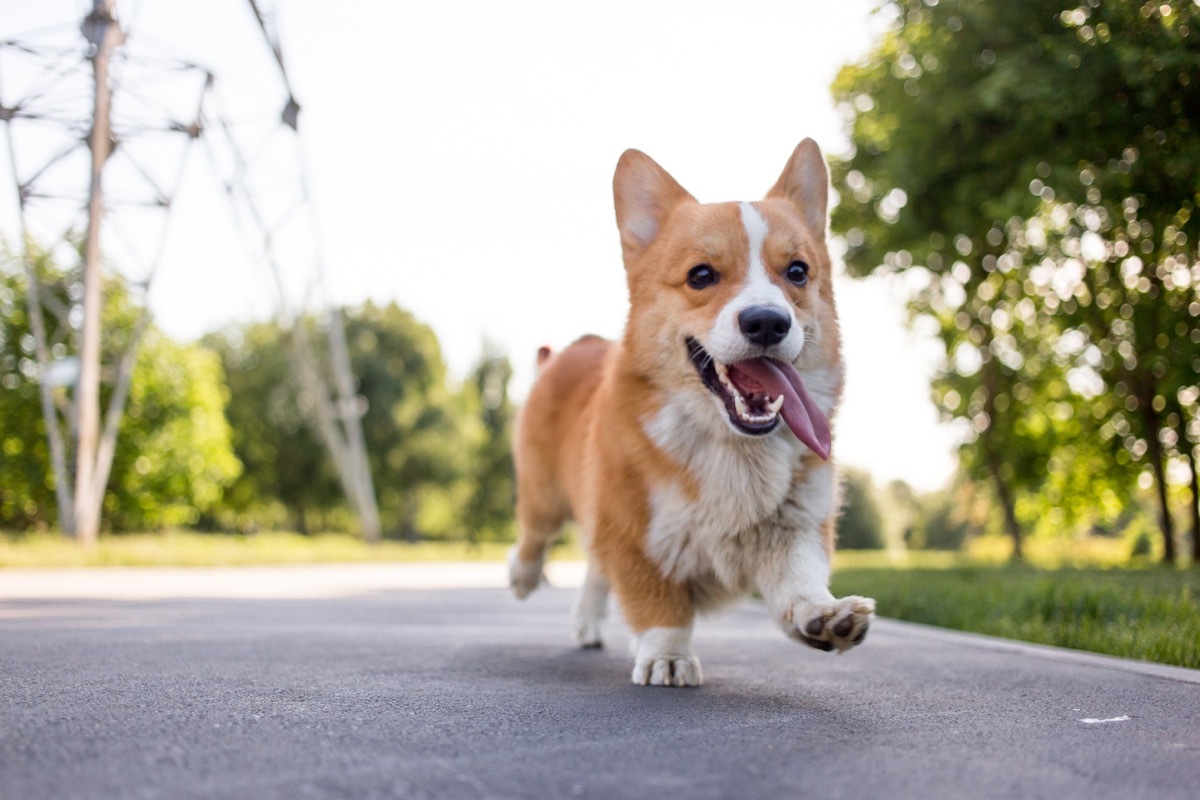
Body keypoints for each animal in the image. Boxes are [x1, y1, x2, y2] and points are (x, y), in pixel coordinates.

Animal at [506, 139, 873, 690]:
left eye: (797, 272)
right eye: (701, 275)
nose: (767, 322)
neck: (733, 447)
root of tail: (578, 345)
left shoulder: (793, 527)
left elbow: (799, 581)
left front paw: (826, 617)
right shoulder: (633, 531)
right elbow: (658, 606)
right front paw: (668, 657)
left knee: (593, 568)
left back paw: (587, 623)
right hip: (545, 493)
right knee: (535, 537)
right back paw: (521, 577)